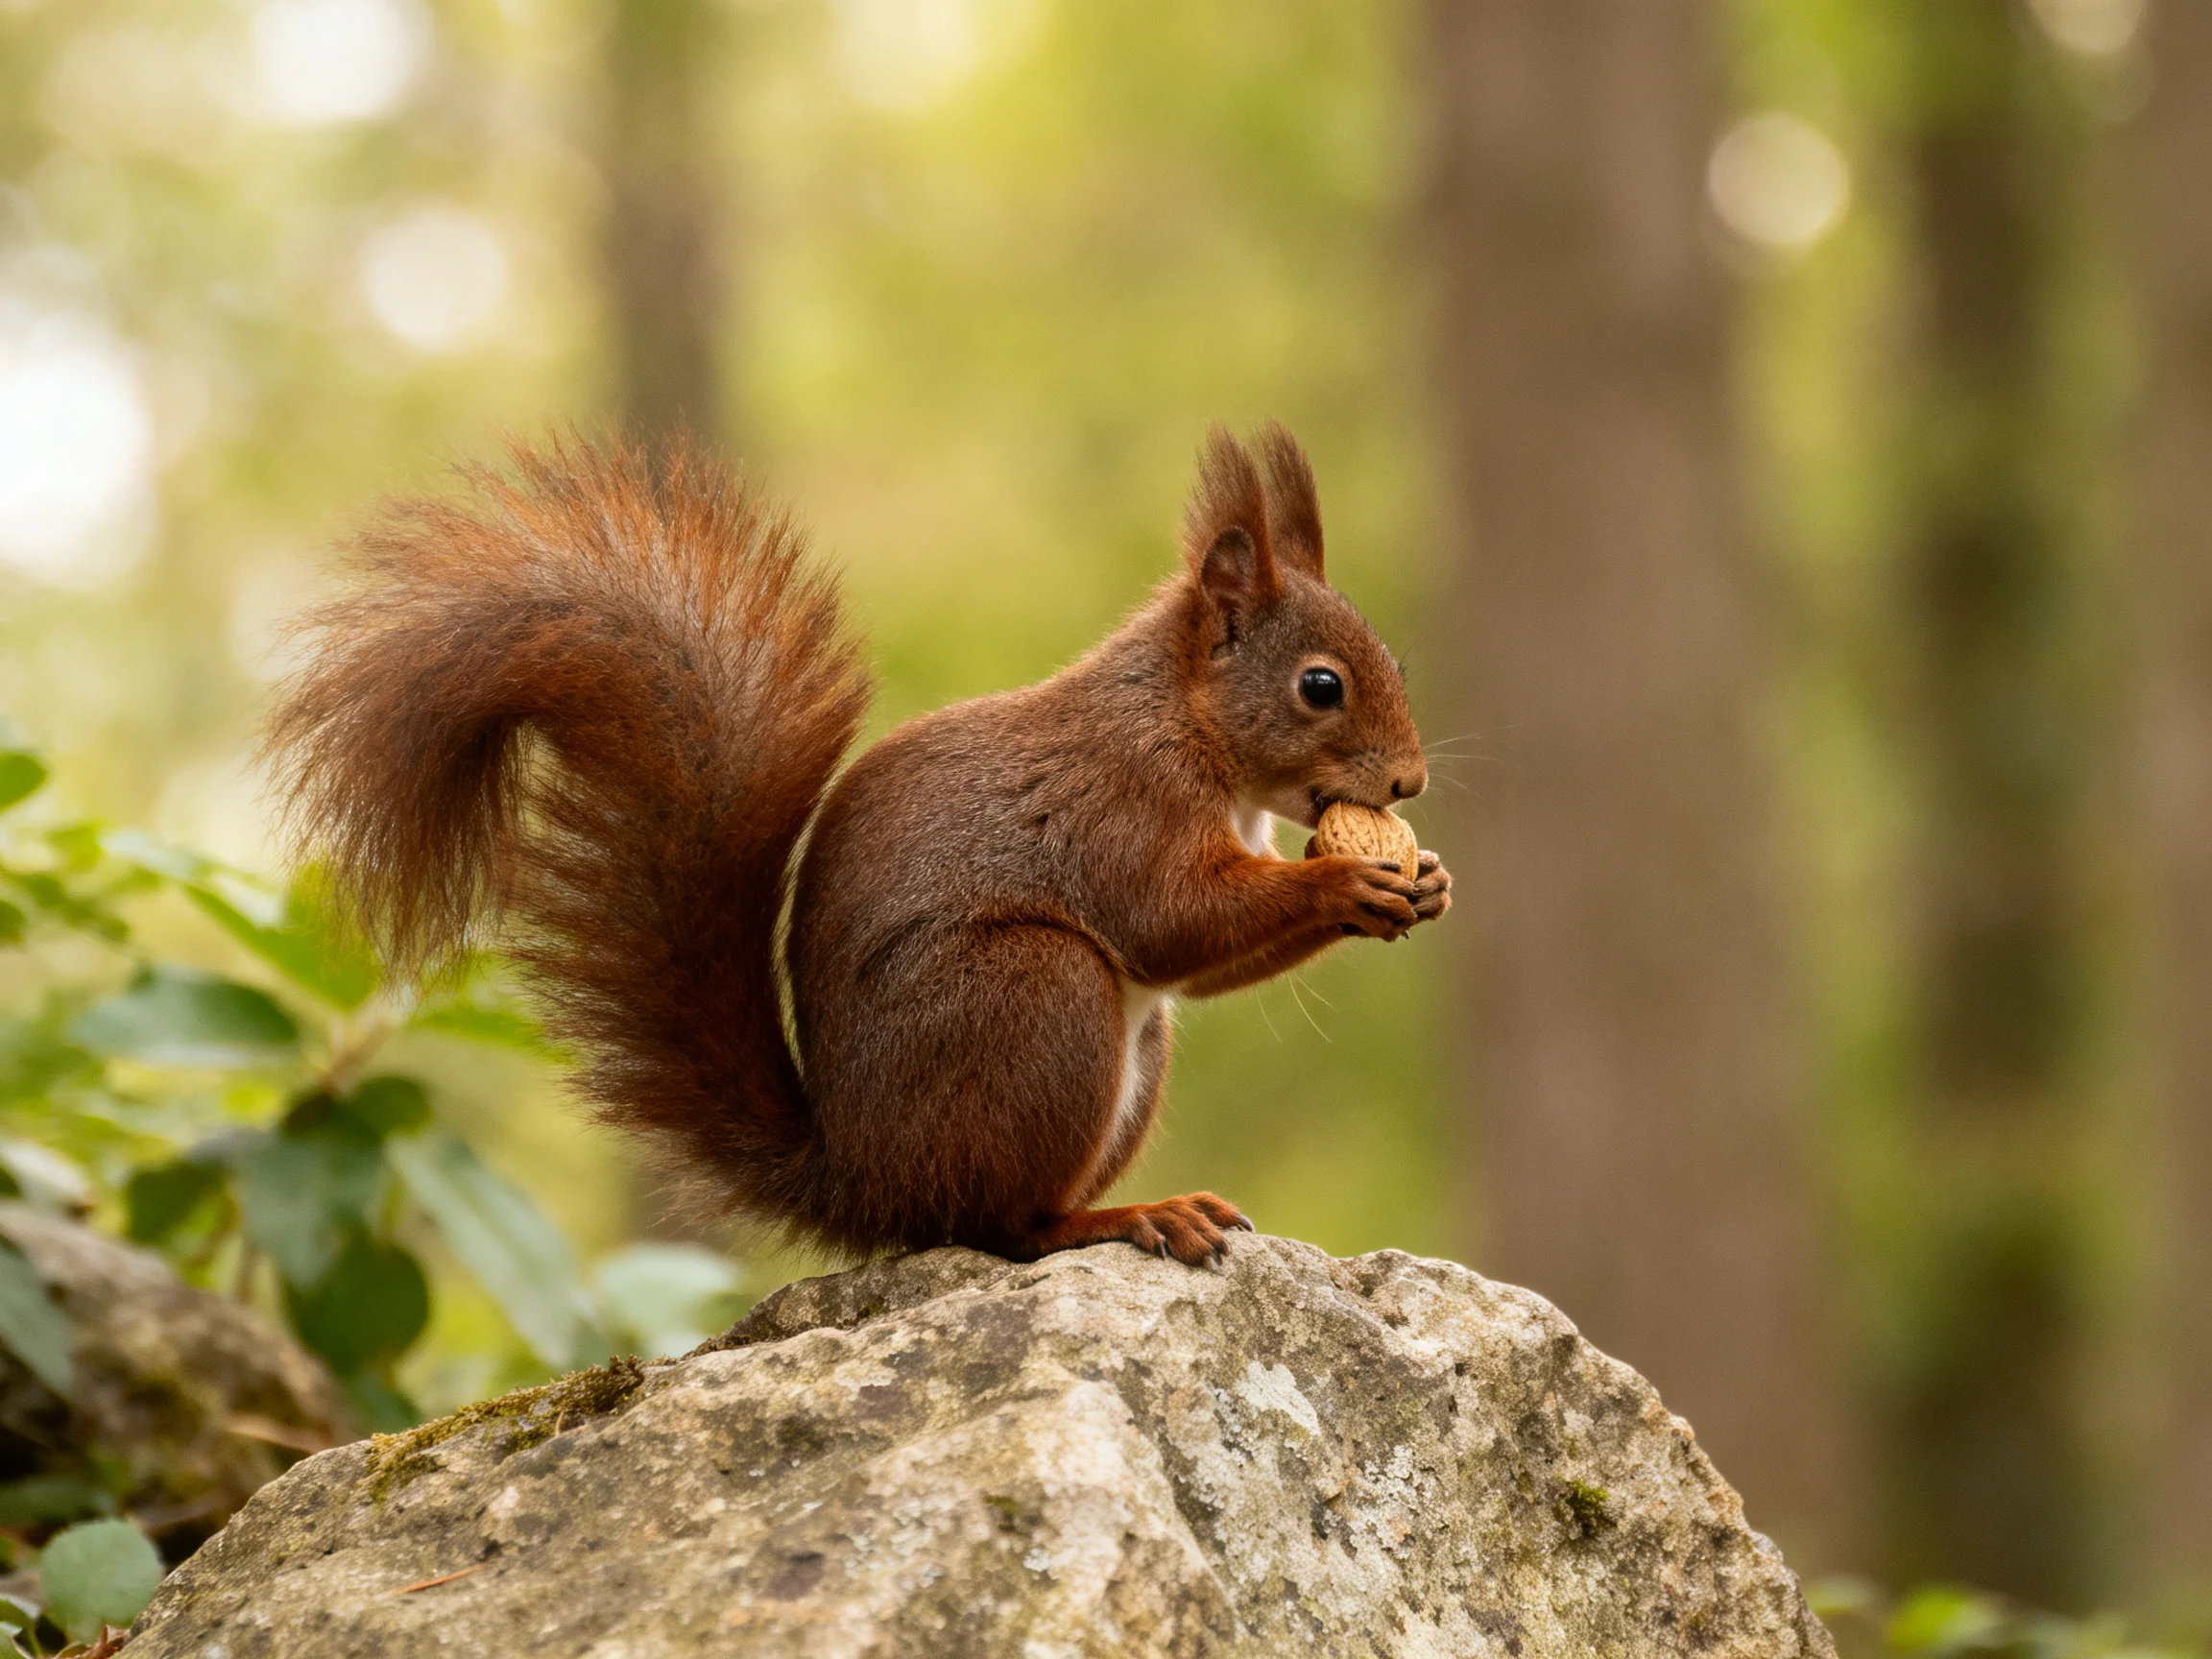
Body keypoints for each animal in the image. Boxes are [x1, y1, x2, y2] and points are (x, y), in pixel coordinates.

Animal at [266, 423, 1450, 1267]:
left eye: (1388, 660)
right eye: (1320, 685)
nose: (1410, 785)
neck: (1191, 729)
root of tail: (865, 1186)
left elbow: (1198, 964)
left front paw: (1422, 879)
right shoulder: (1119, 806)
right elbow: (1172, 924)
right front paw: (1347, 880)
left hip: (1123, 1045)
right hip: (1034, 995)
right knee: (998, 1225)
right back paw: (1117, 1221)